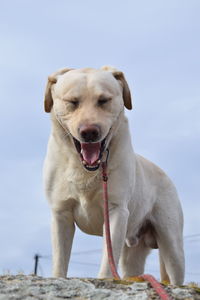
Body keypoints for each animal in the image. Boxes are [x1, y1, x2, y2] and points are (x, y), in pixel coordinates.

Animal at [43, 65, 185, 284]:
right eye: (72, 102)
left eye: (103, 100)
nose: (89, 132)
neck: (85, 169)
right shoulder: (61, 213)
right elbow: (60, 261)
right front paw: (58, 278)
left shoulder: (116, 210)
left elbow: (107, 261)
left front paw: (104, 280)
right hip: (132, 255)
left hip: (172, 245)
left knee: (175, 274)